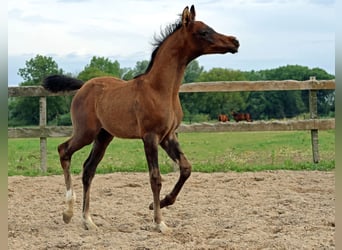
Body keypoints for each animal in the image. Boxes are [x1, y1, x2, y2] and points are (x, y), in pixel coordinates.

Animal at [43, 4, 240, 233]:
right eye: (204, 32)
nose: (235, 42)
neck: (160, 89)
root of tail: (83, 86)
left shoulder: (168, 136)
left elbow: (186, 168)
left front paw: (160, 203)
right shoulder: (150, 137)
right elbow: (155, 178)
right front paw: (160, 222)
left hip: (103, 136)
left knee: (88, 169)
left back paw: (88, 220)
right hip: (86, 132)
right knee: (64, 151)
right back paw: (68, 213)